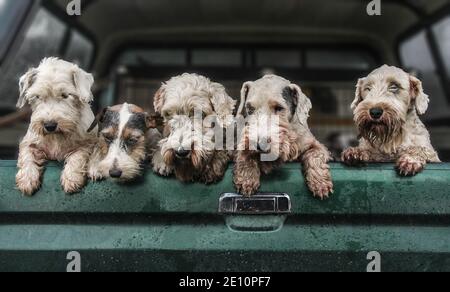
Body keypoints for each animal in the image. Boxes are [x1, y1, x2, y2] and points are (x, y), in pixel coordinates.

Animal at [16, 57, 96, 195]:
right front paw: (27, 178)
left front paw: (71, 178)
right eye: (37, 96)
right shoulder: (29, 142)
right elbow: (26, 156)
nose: (49, 125)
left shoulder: (86, 143)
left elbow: (78, 156)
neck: (56, 136)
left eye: (65, 95)